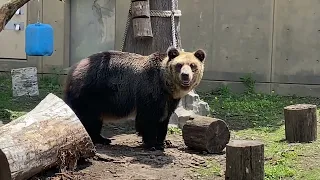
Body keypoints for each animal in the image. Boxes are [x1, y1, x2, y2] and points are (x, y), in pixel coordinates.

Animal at [63, 46, 205, 150]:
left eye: (193, 65)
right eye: (179, 65)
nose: (185, 75)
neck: (166, 84)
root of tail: (74, 68)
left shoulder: (169, 100)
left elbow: (164, 119)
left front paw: (163, 142)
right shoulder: (149, 89)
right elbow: (148, 118)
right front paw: (152, 143)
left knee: (95, 119)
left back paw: (102, 139)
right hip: (90, 91)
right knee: (87, 117)